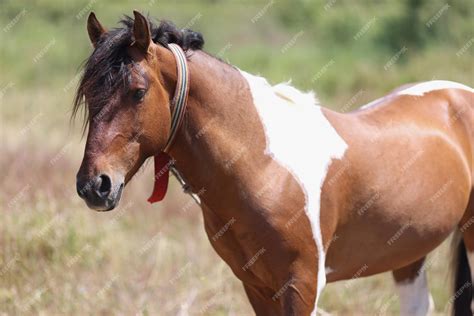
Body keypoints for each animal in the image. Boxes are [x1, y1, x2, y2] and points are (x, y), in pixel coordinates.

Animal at [75, 11, 474, 314]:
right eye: (89, 95)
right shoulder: (256, 286)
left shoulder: (302, 285)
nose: (94, 186)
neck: (263, 166)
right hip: (409, 253)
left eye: (138, 93)